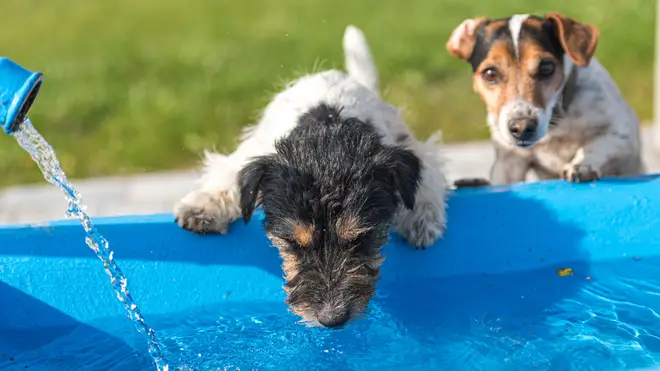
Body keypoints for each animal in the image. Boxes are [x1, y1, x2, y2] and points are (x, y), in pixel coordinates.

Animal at [446, 13, 640, 186]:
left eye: (546, 67)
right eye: (490, 74)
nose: (522, 128)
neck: (555, 127)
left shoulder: (622, 133)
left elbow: (596, 146)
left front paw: (581, 165)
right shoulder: (509, 160)